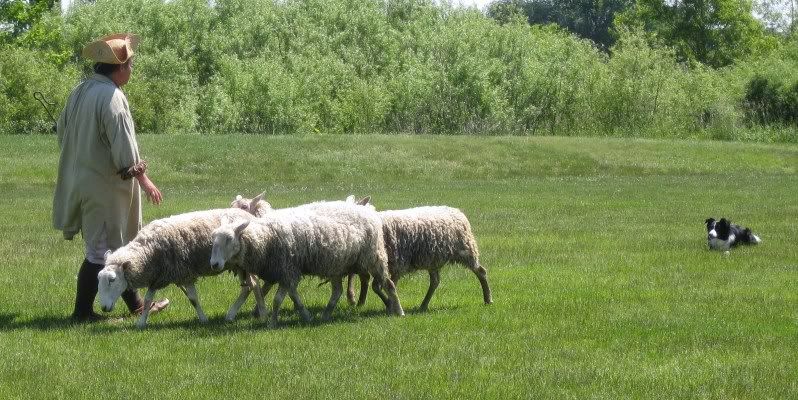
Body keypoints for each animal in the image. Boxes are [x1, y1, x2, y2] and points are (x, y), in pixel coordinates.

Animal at [98, 208, 266, 328]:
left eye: (112, 280)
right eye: (98, 279)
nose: (104, 308)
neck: (148, 250)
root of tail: (250, 216)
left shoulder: (185, 273)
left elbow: (193, 299)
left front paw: (203, 319)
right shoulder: (157, 276)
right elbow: (147, 300)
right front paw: (141, 323)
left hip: (245, 262)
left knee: (254, 285)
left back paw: (259, 312)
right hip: (239, 265)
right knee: (247, 287)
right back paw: (231, 314)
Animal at [210, 200, 405, 326]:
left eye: (229, 238)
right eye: (213, 239)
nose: (214, 264)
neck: (266, 236)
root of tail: (368, 211)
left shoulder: (287, 270)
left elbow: (278, 300)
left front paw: (272, 322)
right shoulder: (286, 272)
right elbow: (293, 297)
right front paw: (306, 316)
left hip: (373, 258)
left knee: (389, 285)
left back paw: (399, 311)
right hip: (336, 264)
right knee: (337, 292)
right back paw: (325, 315)